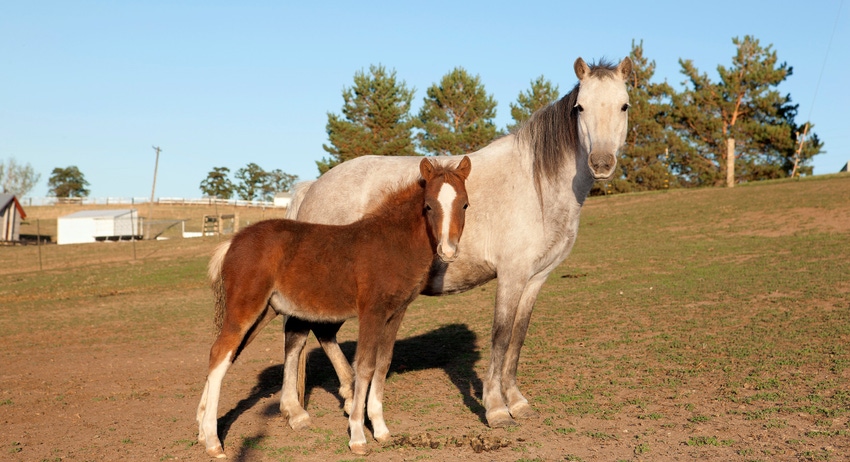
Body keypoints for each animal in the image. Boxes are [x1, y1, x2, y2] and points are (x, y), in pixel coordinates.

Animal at [280, 56, 628, 430]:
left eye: (623, 105)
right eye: (580, 107)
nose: (601, 163)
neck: (534, 184)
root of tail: (313, 187)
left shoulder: (535, 279)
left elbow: (517, 338)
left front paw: (517, 401)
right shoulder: (511, 276)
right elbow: (500, 337)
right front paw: (496, 408)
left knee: (322, 334)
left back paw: (346, 394)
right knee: (297, 336)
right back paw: (296, 411)